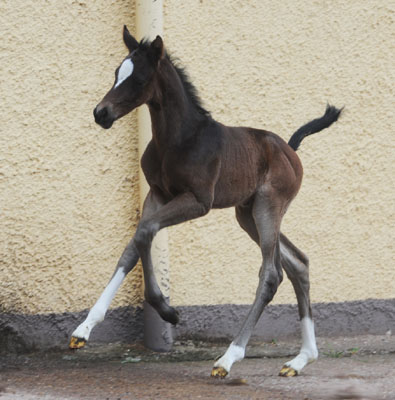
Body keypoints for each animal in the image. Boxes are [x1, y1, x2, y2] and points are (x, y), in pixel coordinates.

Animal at [69, 28, 342, 378]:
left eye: (140, 79)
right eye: (117, 73)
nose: (101, 113)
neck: (178, 139)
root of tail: (290, 150)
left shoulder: (198, 201)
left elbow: (145, 232)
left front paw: (168, 311)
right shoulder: (156, 195)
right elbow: (133, 246)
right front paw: (84, 329)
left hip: (268, 207)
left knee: (272, 273)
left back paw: (229, 358)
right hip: (247, 214)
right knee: (298, 263)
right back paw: (300, 359)